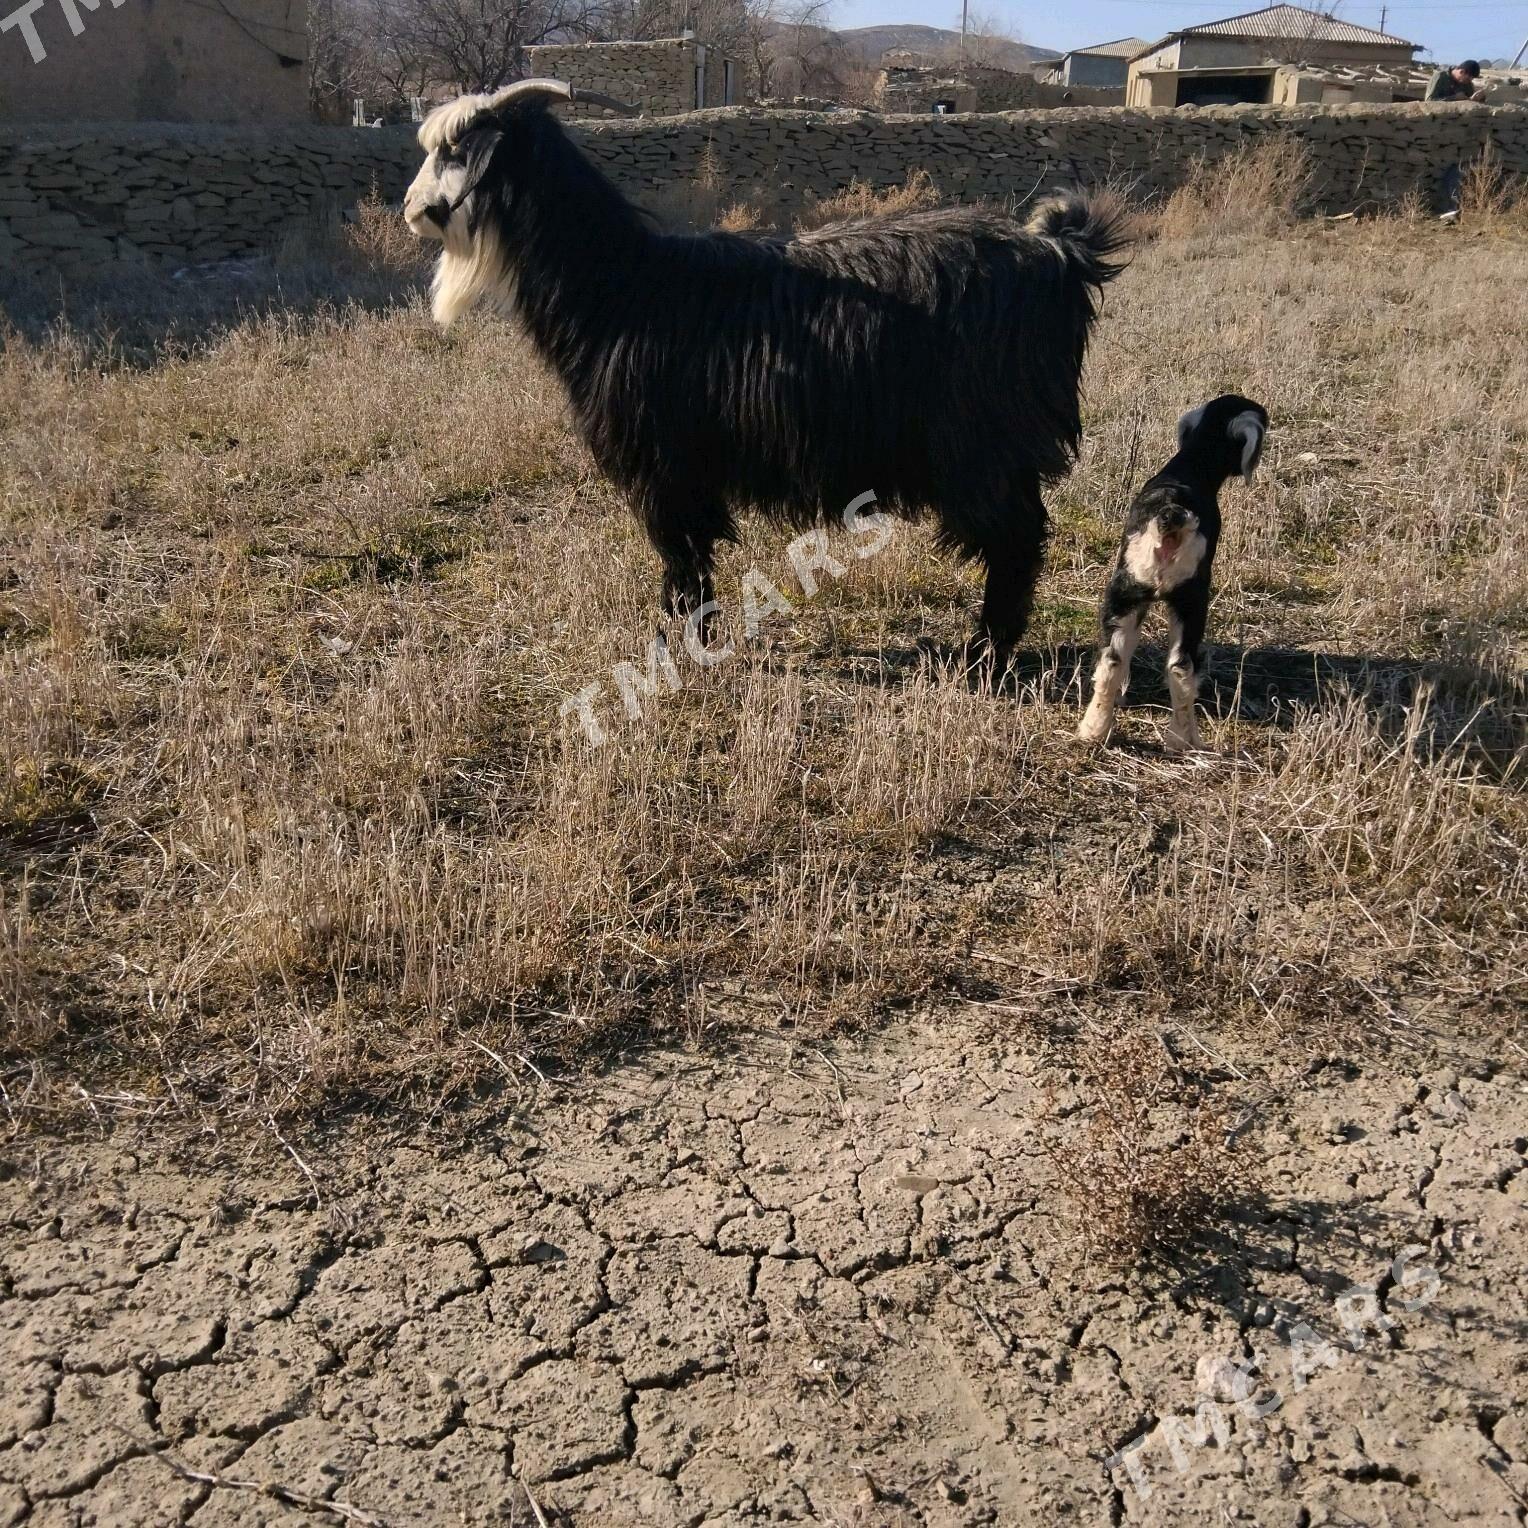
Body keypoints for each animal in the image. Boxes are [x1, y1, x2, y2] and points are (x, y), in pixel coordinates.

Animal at [400, 82, 1130, 657]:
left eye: (458, 152)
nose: (410, 210)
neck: (623, 287)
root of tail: (1056, 252)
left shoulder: (665, 467)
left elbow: (683, 557)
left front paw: (686, 646)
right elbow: (692, 558)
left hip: (986, 447)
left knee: (1017, 542)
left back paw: (987, 654)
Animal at [1081, 394, 1271, 751]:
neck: (1190, 467)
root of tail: (1170, 512)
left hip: (1123, 594)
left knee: (1112, 659)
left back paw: (1094, 730)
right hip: (1191, 602)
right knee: (1182, 666)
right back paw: (1184, 740)